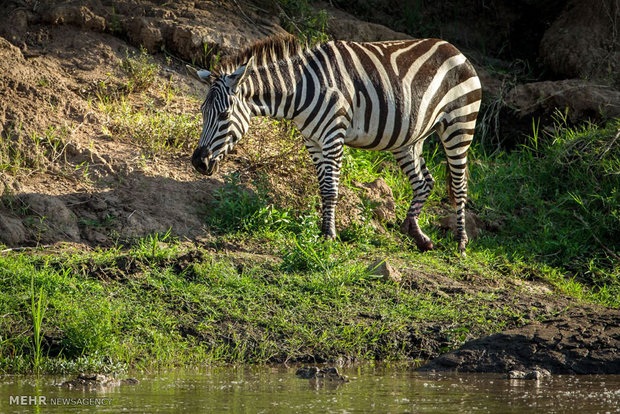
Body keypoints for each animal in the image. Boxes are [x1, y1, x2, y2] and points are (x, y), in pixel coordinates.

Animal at [189, 35, 484, 254]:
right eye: (203, 112)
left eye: (224, 114)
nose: (198, 162)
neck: (300, 89)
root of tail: (454, 49)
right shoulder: (313, 142)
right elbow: (322, 188)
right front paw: (323, 230)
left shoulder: (333, 137)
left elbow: (331, 189)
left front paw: (329, 236)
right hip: (410, 138)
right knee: (424, 182)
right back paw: (416, 234)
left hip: (460, 125)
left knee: (459, 187)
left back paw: (461, 243)